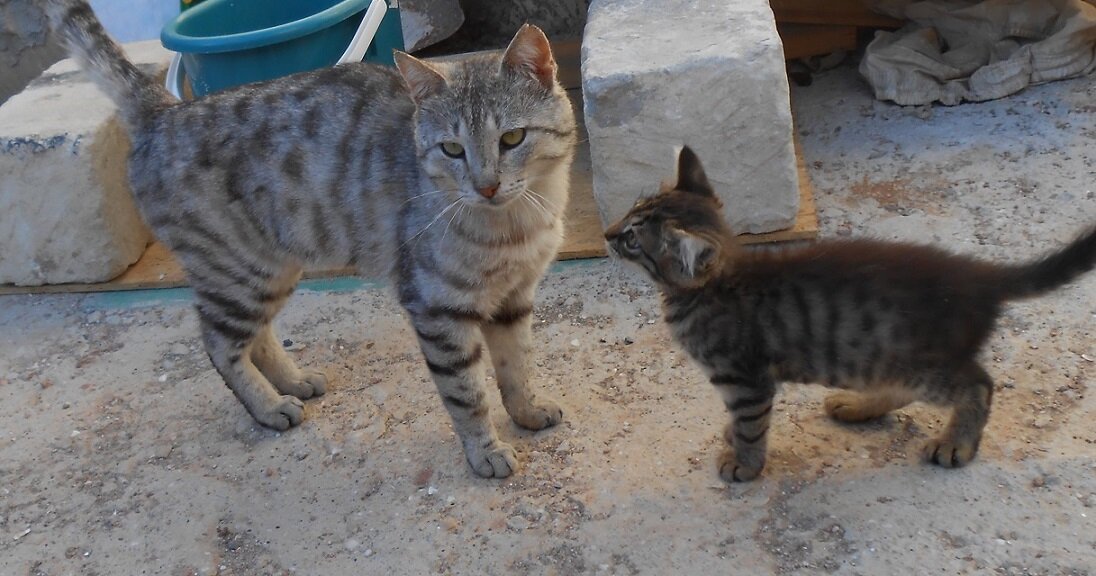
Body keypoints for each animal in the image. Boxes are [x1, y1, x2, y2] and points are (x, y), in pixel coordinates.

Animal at [47, 0, 578, 479]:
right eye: (451, 149)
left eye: (512, 139)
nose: (486, 186)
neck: (516, 224)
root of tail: (165, 112)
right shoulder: (438, 309)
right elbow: (467, 393)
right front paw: (485, 452)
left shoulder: (514, 299)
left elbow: (516, 365)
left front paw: (528, 411)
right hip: (239, 271)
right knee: (219, 344)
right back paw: (268, 407)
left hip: (272, 268)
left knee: (257, 336)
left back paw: (295, 381)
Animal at [604, 146, 1096, 481]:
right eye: (629, 210)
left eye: (632, 239)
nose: (607, 233)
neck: (714, 287)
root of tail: (979, 274)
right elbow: (735, 423)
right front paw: (731, 439)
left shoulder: (745, 380)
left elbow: (750, 426)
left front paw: (744, 463)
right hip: (883, 359)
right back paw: (859, 406)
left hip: (921, 361)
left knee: (979, 385)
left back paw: (956, 442)